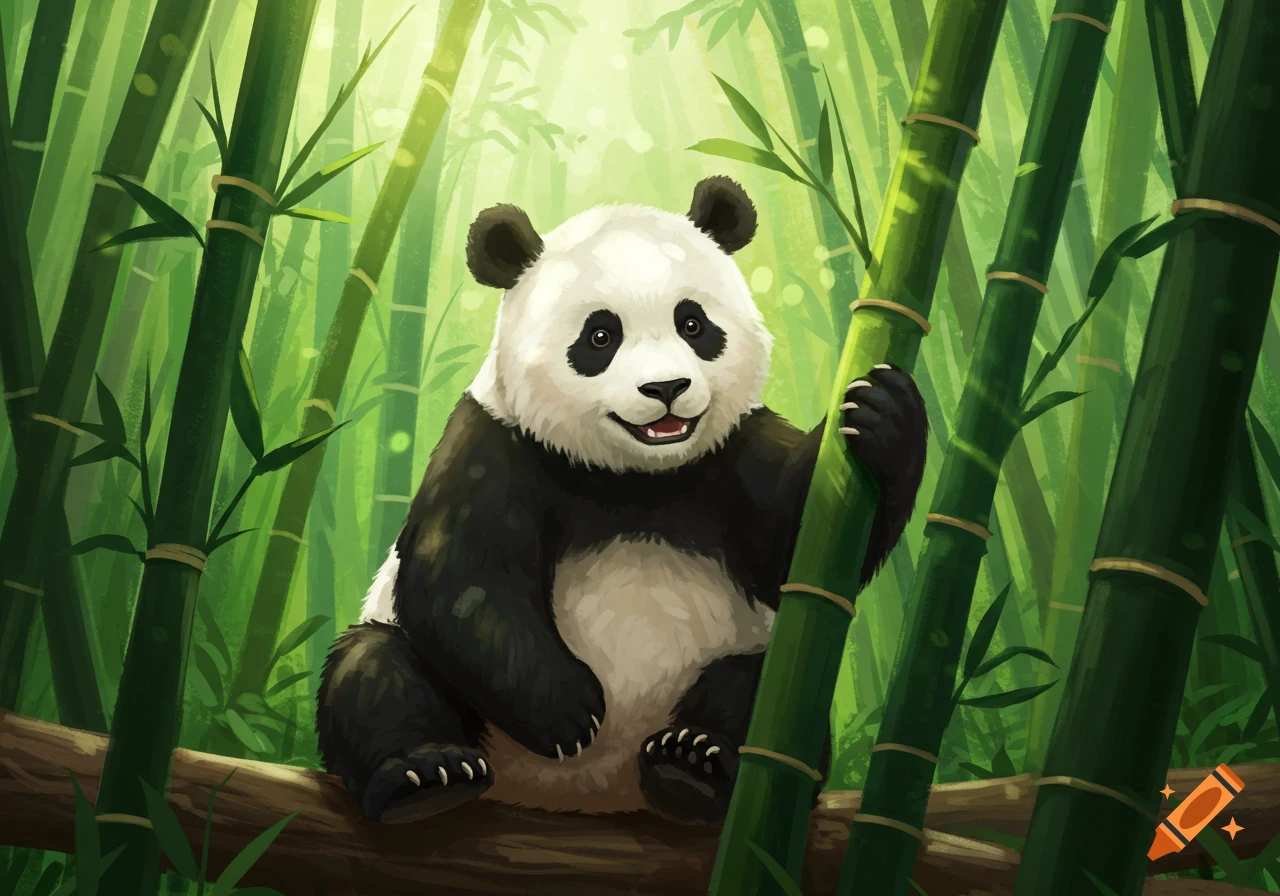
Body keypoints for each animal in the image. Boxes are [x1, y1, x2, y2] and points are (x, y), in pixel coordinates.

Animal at [316, 176, 927, 825]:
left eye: (693, 324)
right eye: (600, 336)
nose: (666, 388)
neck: (635, 478)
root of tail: (594, 794)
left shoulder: (733, 449)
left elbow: (793, 554)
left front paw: (884, 413)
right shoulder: (495, 444)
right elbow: (460, 577)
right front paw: (567, 710)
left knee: (767, 691)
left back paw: (693, 763)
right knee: (373, 668)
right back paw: (427, 777)